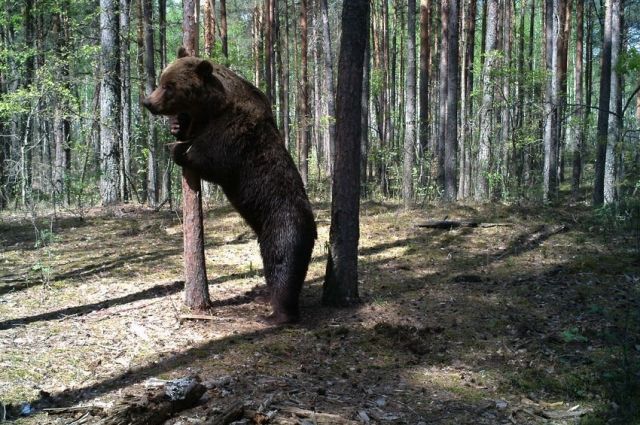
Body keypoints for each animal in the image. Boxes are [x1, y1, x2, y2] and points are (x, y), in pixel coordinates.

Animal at [144, 47, 316, 324]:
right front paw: (177, 127)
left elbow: (209, 159)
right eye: (161, 80)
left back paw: (277, 314)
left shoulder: (233, 133)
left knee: (281, 266)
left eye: (169, 86)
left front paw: (179, 149)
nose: (148, 102)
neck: (214, 106)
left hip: (281, 227)